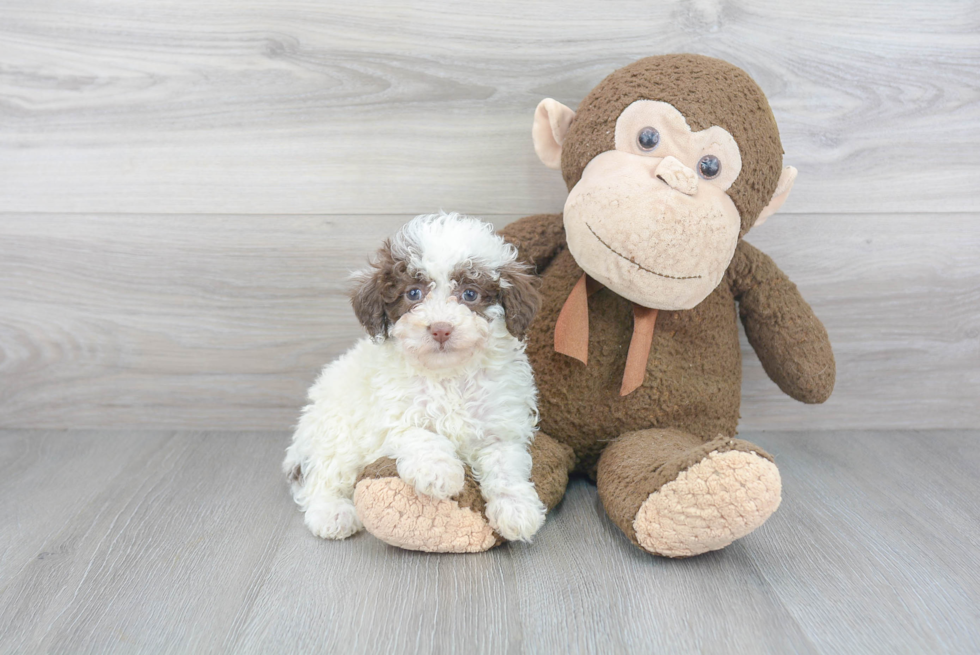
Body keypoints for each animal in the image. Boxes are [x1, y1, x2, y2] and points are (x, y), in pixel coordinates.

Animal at [280, 211, 548, 544]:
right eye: (413, 293)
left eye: (470, 294)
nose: (441, 329)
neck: (448, 375)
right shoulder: (391, 416)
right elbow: (420, 435)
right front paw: (439, 472)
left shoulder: (501, 425)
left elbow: (505, 466)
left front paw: (517, 510)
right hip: (335, 430)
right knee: (323, 476)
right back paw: (331, 513)